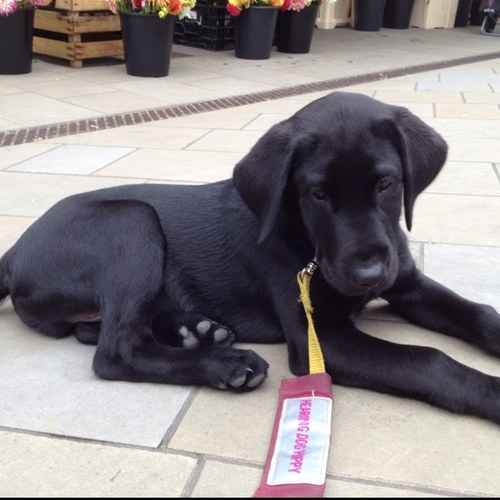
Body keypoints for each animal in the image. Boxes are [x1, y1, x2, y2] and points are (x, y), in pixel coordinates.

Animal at [2, 93, 500, 422]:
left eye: (386, 183)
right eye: (318, 194)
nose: (368, 275)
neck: (304, 239)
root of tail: (12, 253)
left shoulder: (406, 281)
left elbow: (479, 311)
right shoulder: (319, 338)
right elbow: (428, 359)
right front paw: (493, 392)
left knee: (95, 329)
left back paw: (197, 331)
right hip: (131, 223)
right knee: (116, 349)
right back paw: (226, 363)